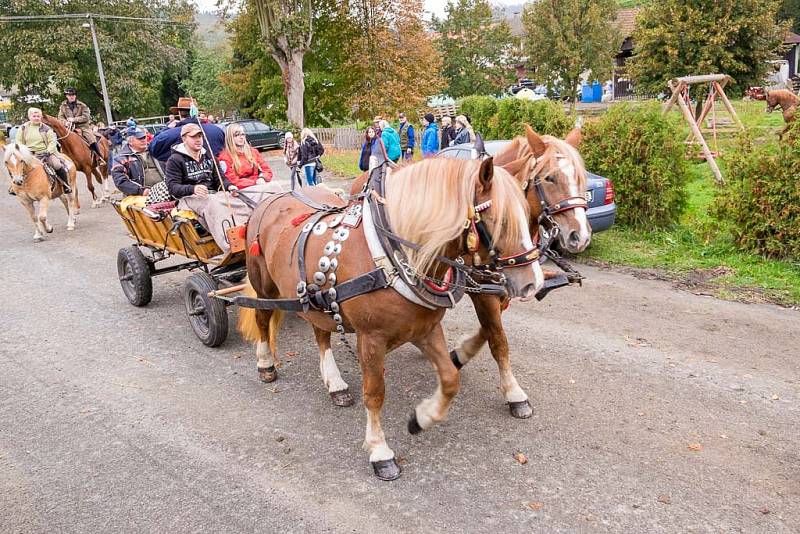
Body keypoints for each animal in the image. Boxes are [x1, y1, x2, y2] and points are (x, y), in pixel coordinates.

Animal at [238, 156, 544, 482]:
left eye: (529, 215)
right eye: (499, 221)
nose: (532, 283)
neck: (392, 257)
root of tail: (270, 200)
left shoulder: (425, 328)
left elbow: (451, 378)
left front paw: (421, 418)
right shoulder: (371, 339)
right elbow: (374, 394)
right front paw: (380, 451)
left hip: (315, 299)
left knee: (321, 333)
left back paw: (335, 384)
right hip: (264, 285)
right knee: (262, 317)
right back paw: (266, 363)